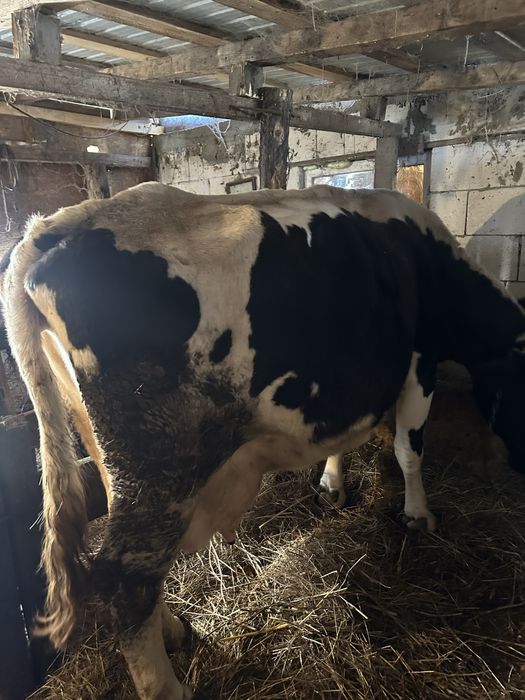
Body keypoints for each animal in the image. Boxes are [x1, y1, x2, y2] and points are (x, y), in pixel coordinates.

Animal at [2, 183, 525, 700]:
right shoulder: (421, 356)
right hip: (161, 465)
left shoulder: (349, 385)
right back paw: (169, 686)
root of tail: (54, 225)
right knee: (125, 581)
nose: (514, 463)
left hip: (109, 455)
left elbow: (345, 437)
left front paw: (331, 484)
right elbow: (409, 447)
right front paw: (418, 515)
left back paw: (173, 630)